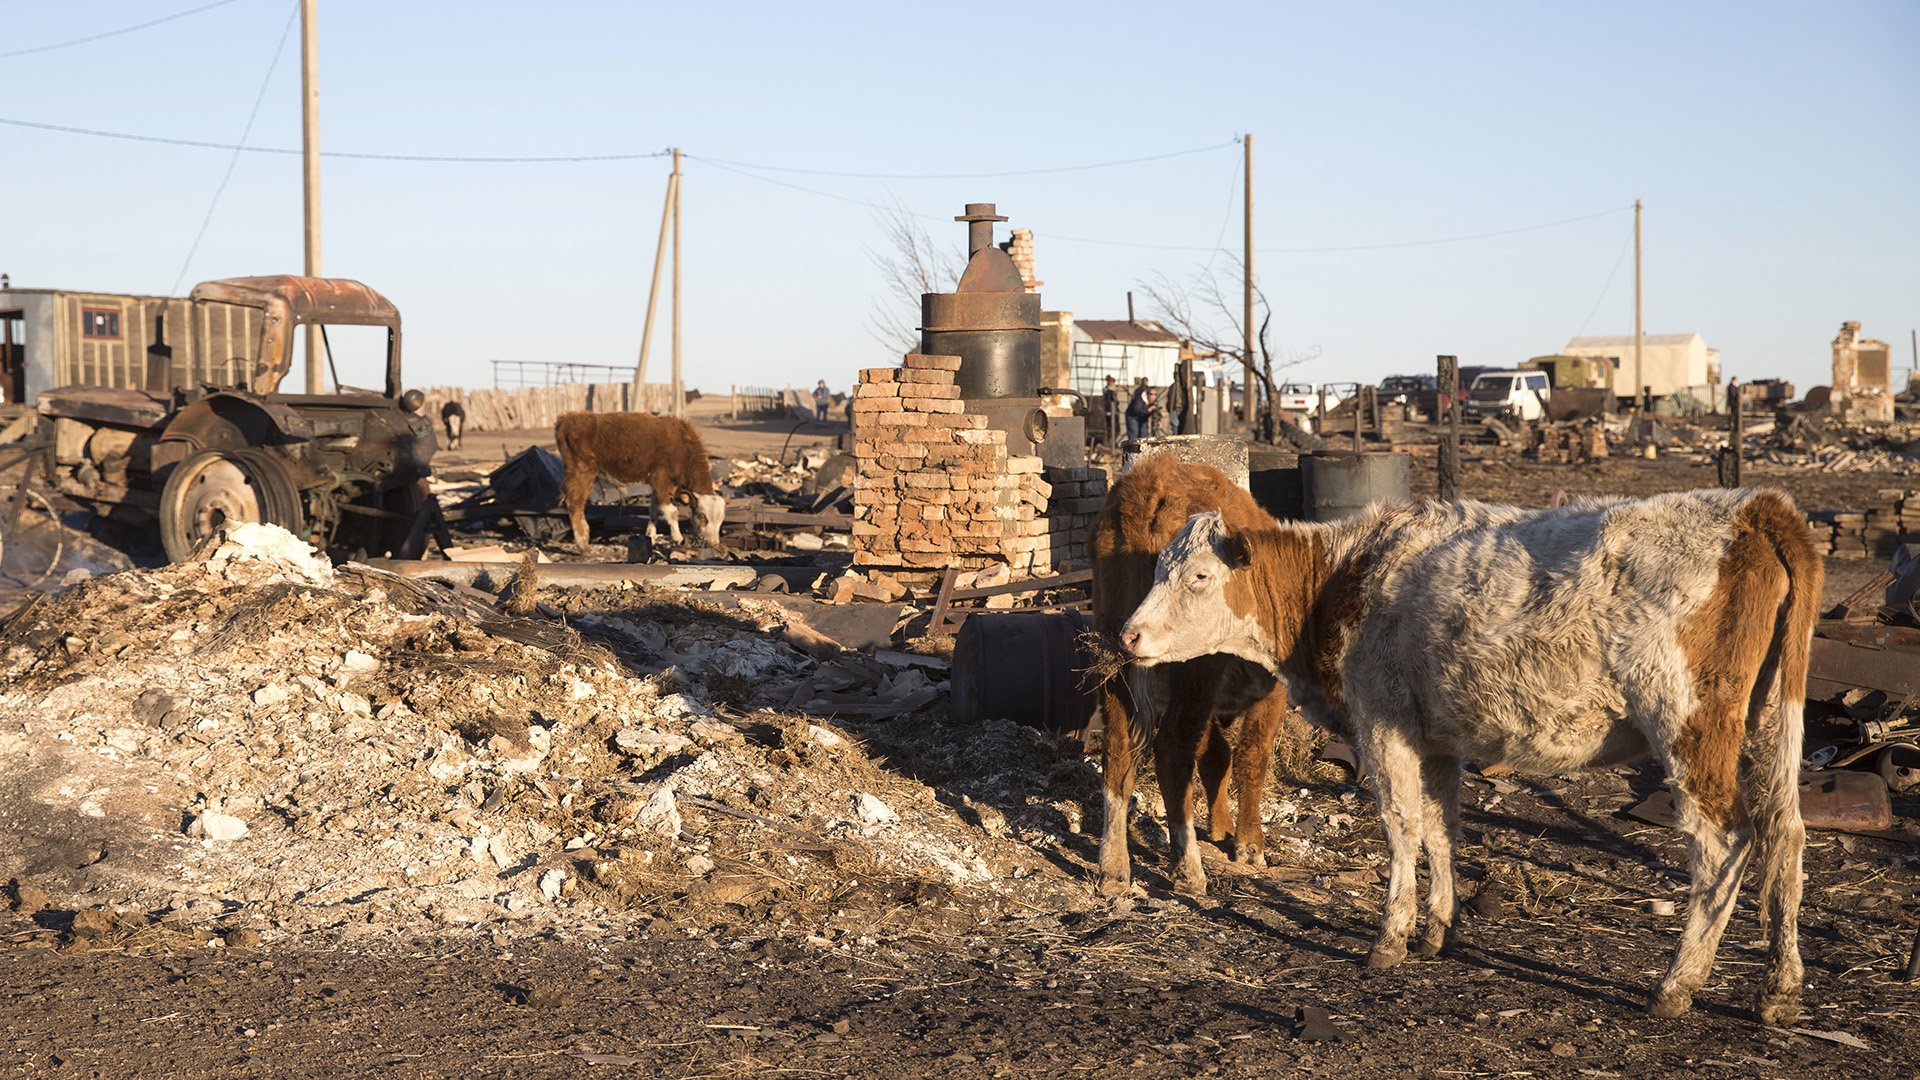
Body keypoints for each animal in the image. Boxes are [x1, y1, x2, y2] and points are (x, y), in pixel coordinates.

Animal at [560, 409, 733, 549]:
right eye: (702, 516)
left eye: (721, 519)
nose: (713, 543)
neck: (682, 446)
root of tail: (568, 418)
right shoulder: (662, 481)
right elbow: (671, 511)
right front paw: (677, 538)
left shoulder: (659, 487)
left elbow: (654, 510)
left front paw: (650, 535)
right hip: (581, 472)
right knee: (574, 504)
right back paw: (582, 543)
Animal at [1098, 451, 1290, 891]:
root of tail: (1152, 481)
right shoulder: (1270, 691)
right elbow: (1250, 755)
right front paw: (1248, 843)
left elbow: (1215, 755)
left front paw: (1221, 827)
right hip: (1194, 671)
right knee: (1172, 747)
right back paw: (1188, 867)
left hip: (1114, 659)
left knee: (1118, 748)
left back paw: (1113, 866)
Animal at [1121, 488, 1820, 1014]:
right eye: (1155, 571)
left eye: (1200, 576)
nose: (1128, 634)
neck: (1345, 578)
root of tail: (1752, 508)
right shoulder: (1437, 738)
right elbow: (1441, 827)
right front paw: (1439, 929)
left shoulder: (1383, 722)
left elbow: (1402, 825)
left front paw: (1390, 939)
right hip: (1772, 719)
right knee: (1785, 830)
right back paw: (1779, 991)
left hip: (1687, 721)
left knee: (1724, 842)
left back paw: (1677, 985)